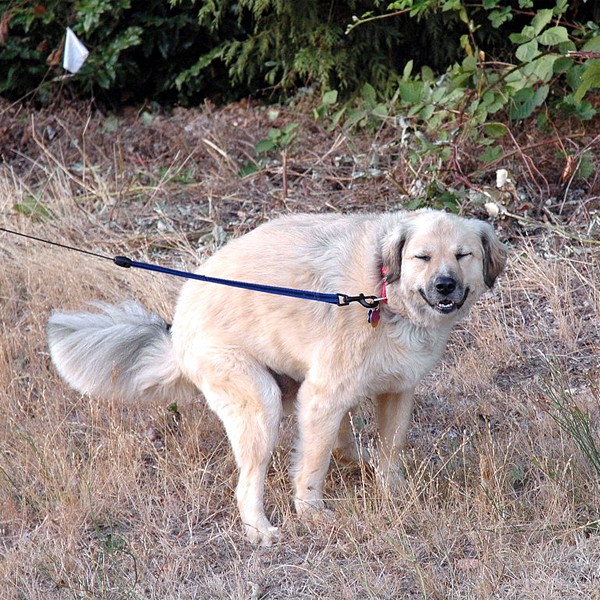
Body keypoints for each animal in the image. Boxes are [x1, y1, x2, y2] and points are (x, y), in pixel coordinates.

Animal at [48, 209, 506, 548]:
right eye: (422, 257)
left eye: (463, 255)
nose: (444, 286)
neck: (381, 293)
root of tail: (176, 331)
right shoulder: (322, 397)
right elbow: (311, 466)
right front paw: (312, 514)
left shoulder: (397, 391)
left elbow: (390, 450)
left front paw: (392, 493)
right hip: (261, 404)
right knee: (247, 483)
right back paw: (259, 530)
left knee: (341, 440)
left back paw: (356, 460)